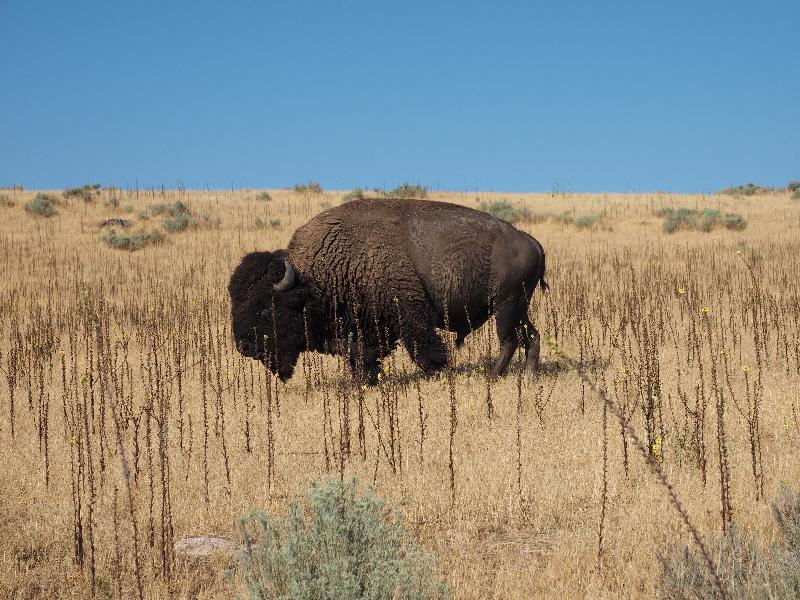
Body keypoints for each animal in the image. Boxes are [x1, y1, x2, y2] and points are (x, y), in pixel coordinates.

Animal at [228, 198, 548, 383]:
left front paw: (440, 371)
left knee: (509, 340)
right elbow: (359, 353)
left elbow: (424, 348)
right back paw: (529, 376)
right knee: (530, 336)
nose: (243, 346)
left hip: (506, 306)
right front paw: (367, 378)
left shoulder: (409, 312)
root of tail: (532, 241)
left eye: (266, 307)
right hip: (517, 308)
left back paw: (493, 377)